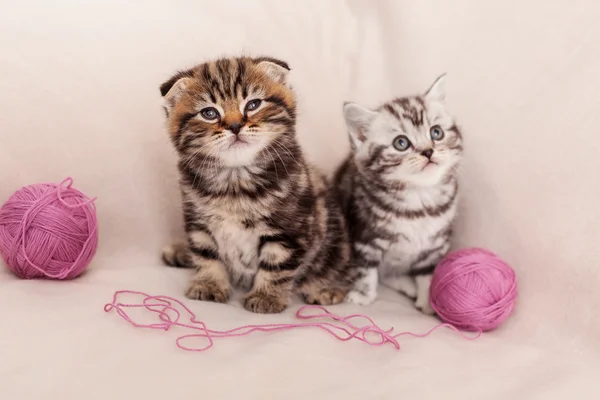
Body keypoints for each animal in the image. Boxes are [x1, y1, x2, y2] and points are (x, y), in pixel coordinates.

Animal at [158, 56, 356, 314]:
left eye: (253, 105)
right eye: (209, 113)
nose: (234, 126)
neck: (235, 181)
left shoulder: (289, 229)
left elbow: (276, 265)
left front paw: (266, 297)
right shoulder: (197, 219)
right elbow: (205, 254)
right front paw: (209, 284)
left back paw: (328, 288)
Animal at [336, 74, 462, 312]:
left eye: (436, 132)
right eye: (401, 143)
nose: (428, 151)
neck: (418, 200)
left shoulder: (436, 245)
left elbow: (427, 273)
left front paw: (428, 302)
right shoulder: (363, 237)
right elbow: (366, 271)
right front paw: (362, 296)